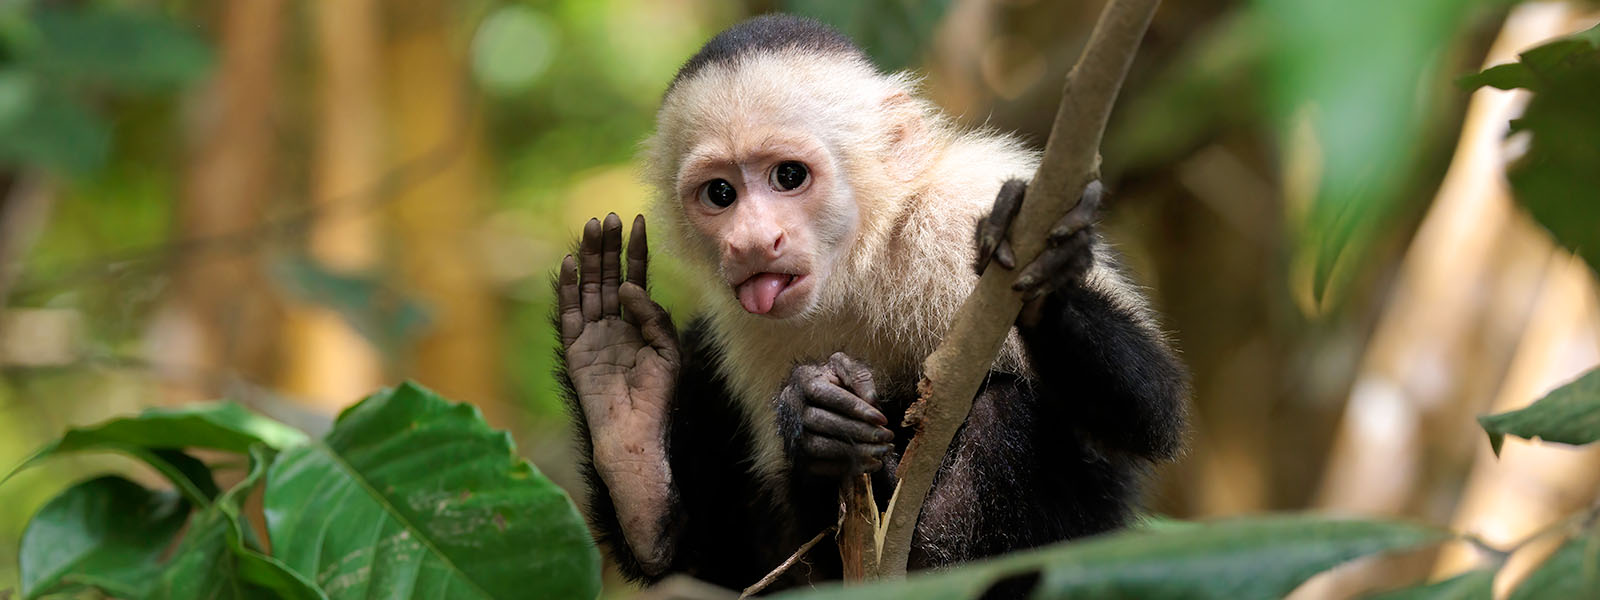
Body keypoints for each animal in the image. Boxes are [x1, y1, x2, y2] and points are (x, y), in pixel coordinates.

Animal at [550, 11, 1190, 595]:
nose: (753, 241)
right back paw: (626, 434)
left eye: (789, 176)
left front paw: (1044, 277)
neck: (856, 269)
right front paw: (811, 417)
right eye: (721, 193)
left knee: (1006, 409)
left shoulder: (965, 205)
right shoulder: (742, 328)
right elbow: (755, 558)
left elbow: (1153, 413)